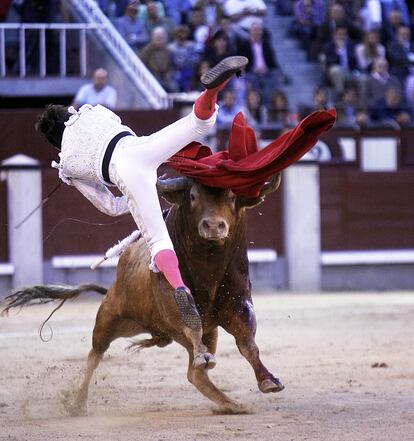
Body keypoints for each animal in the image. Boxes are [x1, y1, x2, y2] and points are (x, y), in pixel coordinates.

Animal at [0, 174, 284, 414]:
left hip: (197, 330)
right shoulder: (175, 304)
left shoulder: (239, 305)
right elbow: (192, 324)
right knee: (95, 356)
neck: (209, 268)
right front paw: (205, 356)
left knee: (195, 375)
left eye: (233, 198)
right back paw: (78, 404)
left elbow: (248, 344)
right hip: (109, 318)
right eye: (192, 196)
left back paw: (231, 404)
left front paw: (269, 381)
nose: (214, 226)